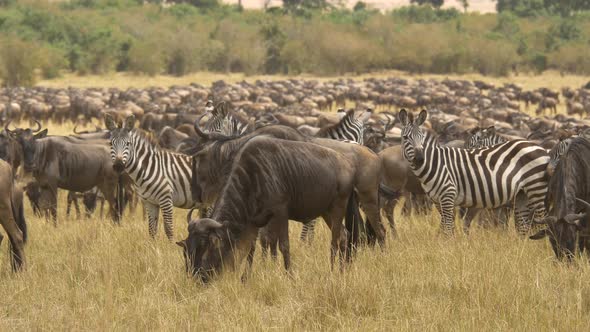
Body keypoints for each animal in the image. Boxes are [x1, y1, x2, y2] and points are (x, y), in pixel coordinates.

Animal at [400, 110, 552, 235]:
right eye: (405, 138)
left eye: (421, 137)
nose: (420, 159)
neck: (435, 164)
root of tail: (539, 147)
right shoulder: (438, 201)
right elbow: (446, 227)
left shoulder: (448, 196)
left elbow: (449, 228)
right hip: (522, 195)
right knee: (524, 226)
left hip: (536, 190)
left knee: (542, 220)